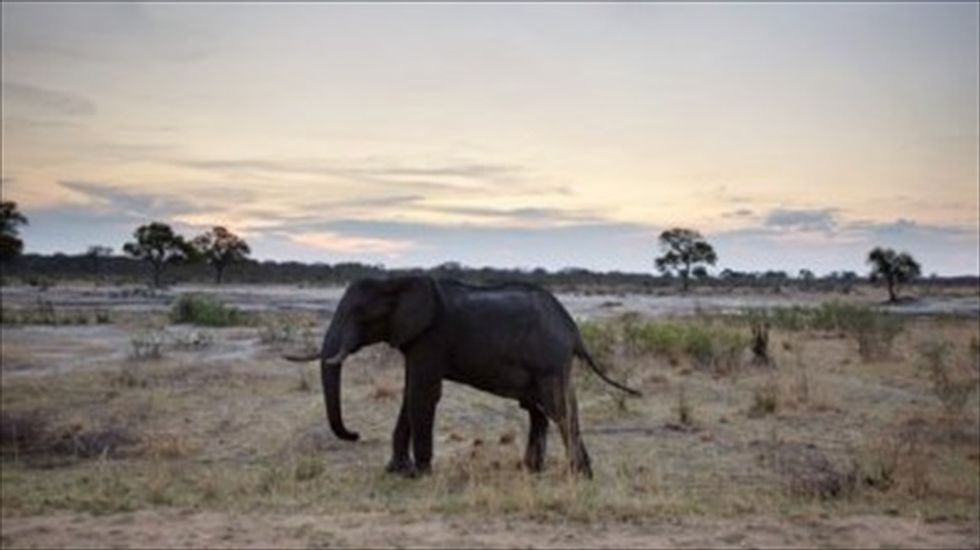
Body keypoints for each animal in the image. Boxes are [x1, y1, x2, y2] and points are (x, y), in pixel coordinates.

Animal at [285, 275, 641, 478]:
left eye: (359, 314)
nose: (355, 434)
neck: (397, 281)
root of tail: (574, 329)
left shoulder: (432, 336)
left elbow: (423, 393)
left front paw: (420, 474)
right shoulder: (415, 340)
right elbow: (411, 393)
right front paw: (396, 471)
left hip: (549, 362)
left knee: (559, 409)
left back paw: (580, 475)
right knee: (539, 411)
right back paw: (532, 470)